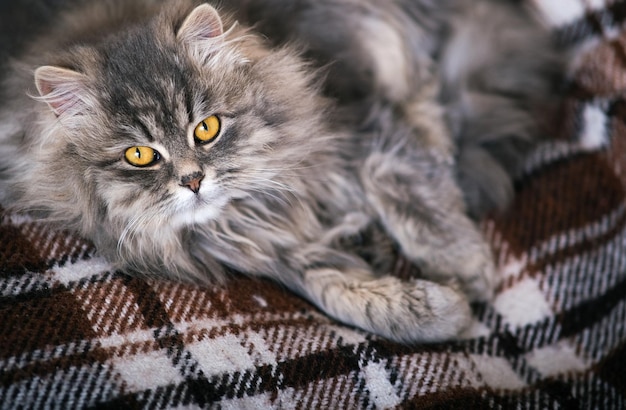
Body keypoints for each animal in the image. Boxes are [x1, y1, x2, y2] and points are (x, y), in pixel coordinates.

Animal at [0, 0, 556, 344]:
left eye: (206, 129)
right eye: (141, 156)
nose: (193, 180)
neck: (252, 205)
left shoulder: (362, 123)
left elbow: (403, 182)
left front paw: (463, 267)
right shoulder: (265, 249)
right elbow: (330, 289)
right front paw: (434, 310)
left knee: (431, 97)